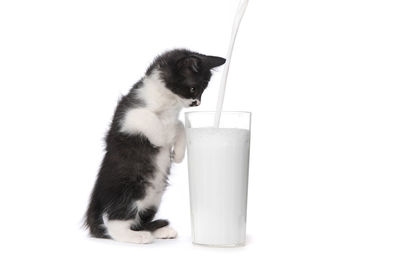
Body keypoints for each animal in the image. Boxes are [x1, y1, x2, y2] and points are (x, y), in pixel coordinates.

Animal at [84, 49, 225, 244]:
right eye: (193, 89)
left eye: (203, 91)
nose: (197, 103)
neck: (168, 103)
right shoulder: (127, 116)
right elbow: (149, 117)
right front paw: (162, 137)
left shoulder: (172, 118)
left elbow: (180, 124)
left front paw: (178, 154)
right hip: (131, 190)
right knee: (114, 224)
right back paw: (138, 237)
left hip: (152, 200)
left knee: (139, 221)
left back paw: (160, 231)